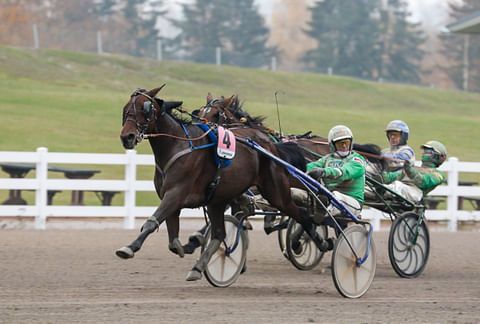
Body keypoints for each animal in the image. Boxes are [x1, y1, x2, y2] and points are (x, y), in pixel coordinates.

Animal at [115, 85, 330, 280]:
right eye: (125, 109)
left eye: (145, 108)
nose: (127, 137)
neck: (178, 145)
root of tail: (271, 146)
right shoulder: (174, 197)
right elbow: (172, 236)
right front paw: (185, 246)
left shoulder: (176, 194)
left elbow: (152, 222)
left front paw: (129, 247)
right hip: (218, 200)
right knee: (219, 234)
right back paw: (199, 266)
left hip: (276, 193)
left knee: (301, 214)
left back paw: (315, 240)